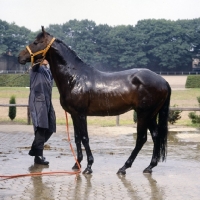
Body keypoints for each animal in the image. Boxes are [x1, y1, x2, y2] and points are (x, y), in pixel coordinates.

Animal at [18, 27, 171, 175]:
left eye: (36, 42)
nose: (19, 56)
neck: (74, 77)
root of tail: (163, 81)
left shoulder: (81, 114)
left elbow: (85, 138)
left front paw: (88, 167)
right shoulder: (74, 114)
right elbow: (77, 137)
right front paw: (77, 164)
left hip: (143, 114)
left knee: (141, 139)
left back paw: (124, 168)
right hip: (150, 115)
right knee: (156, 136)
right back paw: (149, 166)